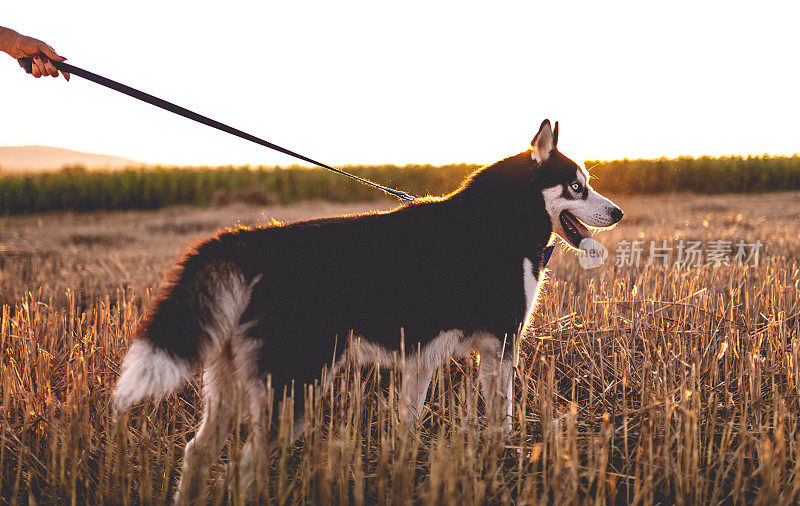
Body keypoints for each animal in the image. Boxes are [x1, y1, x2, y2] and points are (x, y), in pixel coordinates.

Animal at [112, 119, 624, 502]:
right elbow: (504, 417)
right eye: (576, 187)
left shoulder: (424, 358)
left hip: (231, 388)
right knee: (240, 470)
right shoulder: (501, 346)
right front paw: (507, 458)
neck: (501, 218)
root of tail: (248, 240)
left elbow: (408, 424)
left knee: (196, 452)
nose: (618, 213)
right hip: (292, 392)